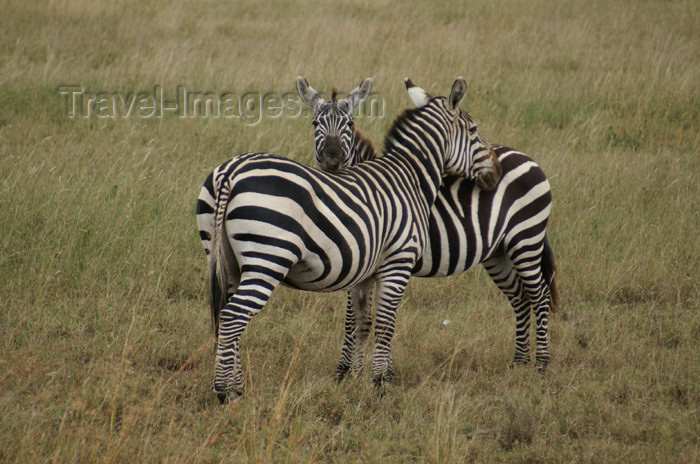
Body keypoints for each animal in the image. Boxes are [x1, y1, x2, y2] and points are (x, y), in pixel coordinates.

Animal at [197, 78, 504, 400]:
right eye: (474, 130)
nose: (497, 172)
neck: (411, 179)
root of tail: (232, 171)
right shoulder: (398, 261)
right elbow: (385, 323)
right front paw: (380, 384)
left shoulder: (366, 270)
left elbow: (360, 321)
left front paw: (355, 378)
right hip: (267, 259)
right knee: (233, 317)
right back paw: (225, 393)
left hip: (225, 258)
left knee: (228, 315)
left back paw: (237, 388)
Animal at [298, 78, 560, 372]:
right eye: (315, 123)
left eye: (350, 124)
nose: (332, 158)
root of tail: (526, 156)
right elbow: (363, 320)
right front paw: (360, 370)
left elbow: (356, 320)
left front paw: (351, 370)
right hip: (498, 252)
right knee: (520, 298)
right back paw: (518, 362)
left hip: (525, 239)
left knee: (539, 295)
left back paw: (541, 365)